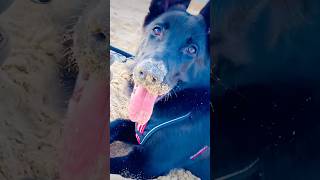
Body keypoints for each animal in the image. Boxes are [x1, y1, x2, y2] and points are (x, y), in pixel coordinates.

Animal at [111, 0, 211, 179]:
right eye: (157, 30)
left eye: (192, 50)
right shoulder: (138, 134)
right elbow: (118, 123)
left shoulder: (141, 166)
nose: (150, 73)